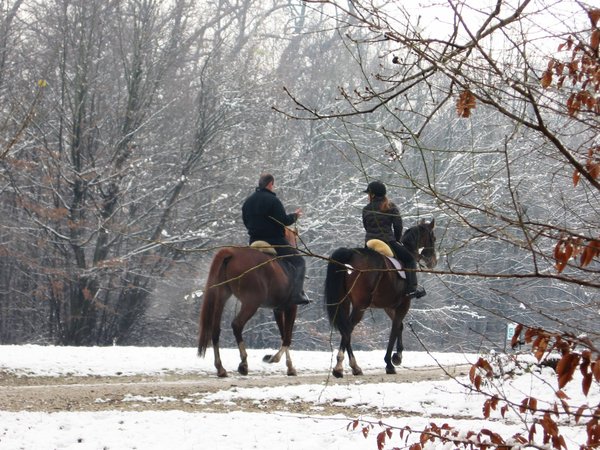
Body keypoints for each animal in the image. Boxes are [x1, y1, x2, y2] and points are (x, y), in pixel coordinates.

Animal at [197, 229, 300, 376]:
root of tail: (231, 253)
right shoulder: (292, 307)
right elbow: (287, 337)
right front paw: (277, 360)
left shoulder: (278, 309)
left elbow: (283, 334)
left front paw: (288, 365)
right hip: (251, 303)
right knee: (237, 325)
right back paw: (243, 363)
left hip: (222, 297)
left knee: (215, 329)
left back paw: (220, 368)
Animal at [326, 218, 438, 376]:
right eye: (433, 238)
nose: (433, 262)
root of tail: (351, 254)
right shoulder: (404, 304)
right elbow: (395, 328)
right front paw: (390, 362)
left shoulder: (388, 306)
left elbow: (400, 327)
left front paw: (397, 357)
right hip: (360, 306)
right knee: (348, 327)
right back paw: (342, 366)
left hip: (345, 302)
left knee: (345, 328)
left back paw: (352, 367)